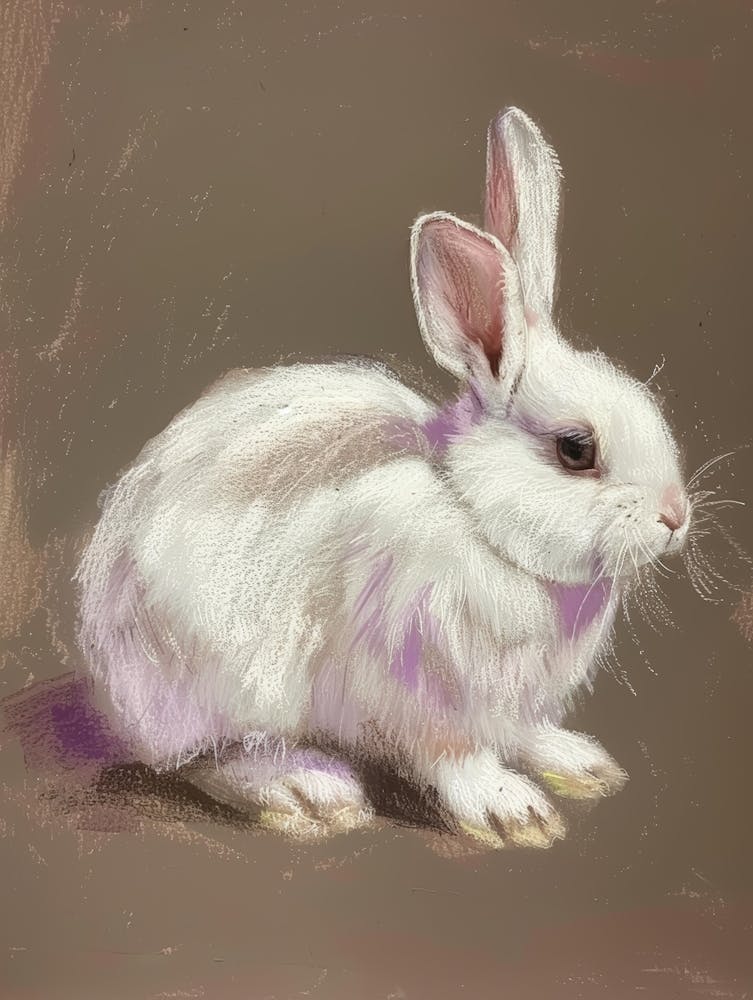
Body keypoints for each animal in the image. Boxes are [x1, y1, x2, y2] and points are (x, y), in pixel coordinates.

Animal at [76, 107, 690, 848]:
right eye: (576, 449)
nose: (676, 517)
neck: (476, 519)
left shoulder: (510, 703)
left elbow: (522, 732)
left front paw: (576, 762)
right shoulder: (417, 689)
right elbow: (454, 755)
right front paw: (510, 810)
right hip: (218, 683)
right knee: (207, 758)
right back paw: (307, 789)